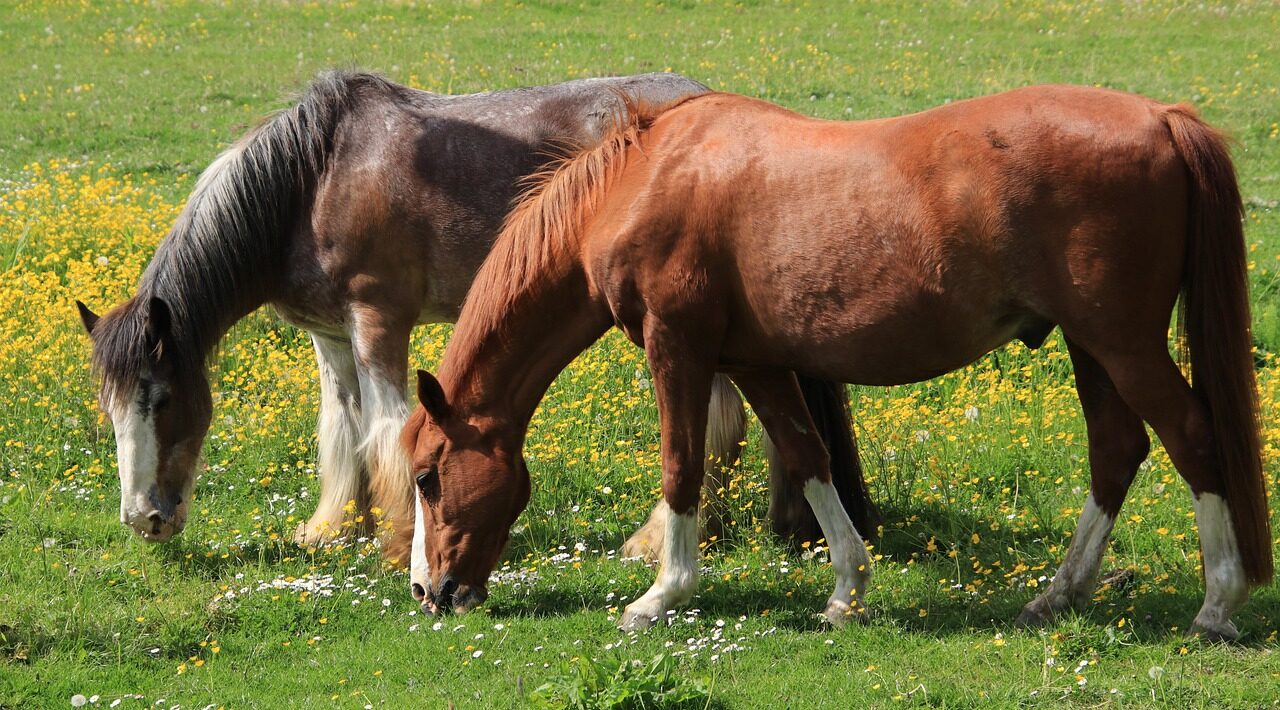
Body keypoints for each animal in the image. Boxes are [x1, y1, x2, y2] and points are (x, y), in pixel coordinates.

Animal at [72, 69, 880, 562]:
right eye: (110, 410)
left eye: (161, 399)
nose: (144, 519)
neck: (311, 180)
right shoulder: (330, 337)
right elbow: (344, 432)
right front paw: (337, 530)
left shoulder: (378, 322)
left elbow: (388, 431)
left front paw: (399, 541)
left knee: (714, 424)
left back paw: (657, 541)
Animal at [399, 86, 1269, 642]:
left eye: (428, 477)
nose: (427, 592)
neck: (642, 183)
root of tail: (1162, 119)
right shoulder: (754, 360)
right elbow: (806, 456)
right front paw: (847, 591)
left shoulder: (677, 347)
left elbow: (682, 467)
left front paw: (661, 596)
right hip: (1092, 346)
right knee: (1117, 452)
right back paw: (1058, 594)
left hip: (1123, 343)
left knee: (1192, 437)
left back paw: (1217, 605)